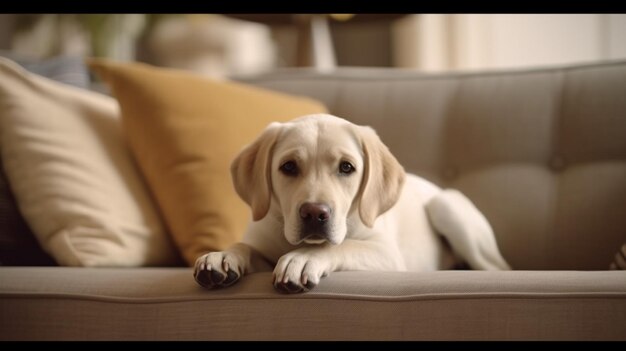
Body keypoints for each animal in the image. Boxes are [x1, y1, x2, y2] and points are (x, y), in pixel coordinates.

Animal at [193, 114, 510, 292]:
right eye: (288, 167)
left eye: (347, 167)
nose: (314, 213)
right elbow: (245, 246)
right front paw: (222, 256)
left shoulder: (387, 255)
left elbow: (342, 245)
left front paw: (303, 257)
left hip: (447, 207)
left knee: (497, 269)